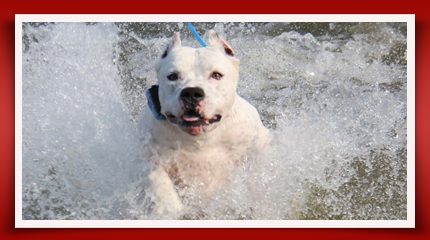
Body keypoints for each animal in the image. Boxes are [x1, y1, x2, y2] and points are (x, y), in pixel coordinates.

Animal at [141, 31, 268, 218]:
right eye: (172, 76)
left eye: (216, 75)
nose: (192, 92)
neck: (201, 140)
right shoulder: (152, 156)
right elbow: (159, 183)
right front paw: (170, 207)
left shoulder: (258, 143)